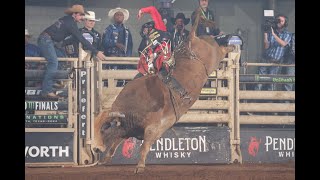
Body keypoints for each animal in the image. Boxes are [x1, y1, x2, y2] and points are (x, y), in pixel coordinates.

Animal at [92, 8, 235, 173]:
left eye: (104, 127)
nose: (95, 149)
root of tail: (190, 40)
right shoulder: (128, 130)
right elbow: (115, 144)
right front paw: (105, 159)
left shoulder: (154, 128)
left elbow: (144, 147)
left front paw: (140, 166)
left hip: (214, 55)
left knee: (221, 49)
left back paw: (231, 45)